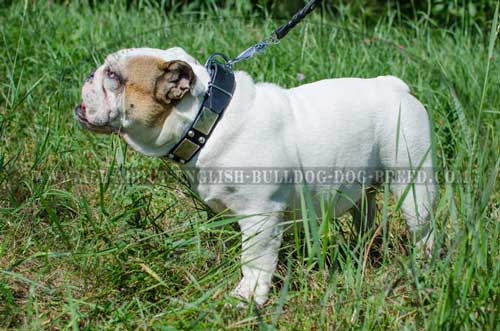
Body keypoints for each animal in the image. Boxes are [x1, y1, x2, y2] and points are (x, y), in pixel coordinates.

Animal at [75, 46, 438, 306]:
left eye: (113, 76)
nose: (90, 73)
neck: (207, 119)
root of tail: (393, 86)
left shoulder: (259, 216)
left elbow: (254, 258)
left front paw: (248, 296)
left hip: (413, 181)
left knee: (423, 228)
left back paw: (421, 265)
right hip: (362, 188)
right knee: (365, 214)